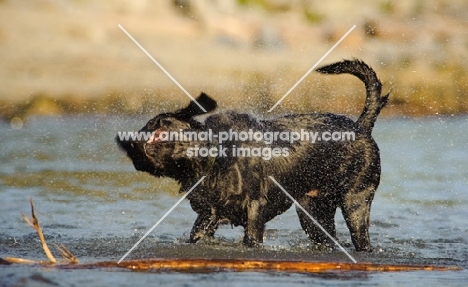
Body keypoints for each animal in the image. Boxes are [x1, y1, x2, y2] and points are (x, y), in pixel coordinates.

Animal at [117, 59, 388, 252]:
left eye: (159, 129)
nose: (127, 142)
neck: (216, 157)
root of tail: (361, 126)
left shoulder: (255, 210)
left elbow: (251, 238)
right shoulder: (206, 217)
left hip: (356, 201)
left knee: (362, 240)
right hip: (312, 212)